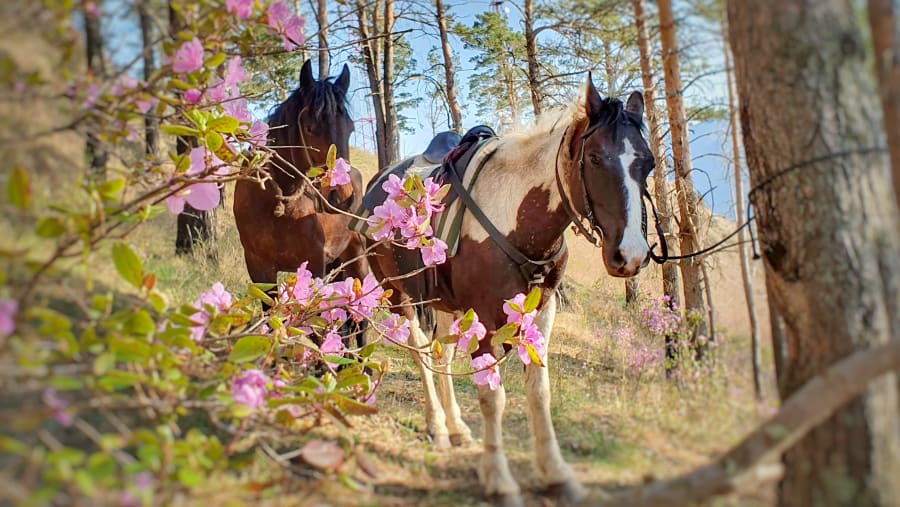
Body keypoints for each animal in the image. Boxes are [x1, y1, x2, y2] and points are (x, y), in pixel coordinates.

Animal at [234, 60, 369, 332]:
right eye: (309, 128)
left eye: (350, 129)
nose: (343, 196)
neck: (277, 204)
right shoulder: (259, 268)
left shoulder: (315, 265)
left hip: (356, 257)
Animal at [366, 74, 655, 506]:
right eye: (594, 159)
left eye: (648, 164)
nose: (632, 255)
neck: (518, 220)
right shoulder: (485, 317)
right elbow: (493, 397)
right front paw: (499, 480)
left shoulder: (542, 312)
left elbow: (539, 392)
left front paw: (556, 474)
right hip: (400, 297)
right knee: (419, 352)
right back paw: (437, 426)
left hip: (446, 306)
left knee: (442, 354)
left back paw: (455, 427)